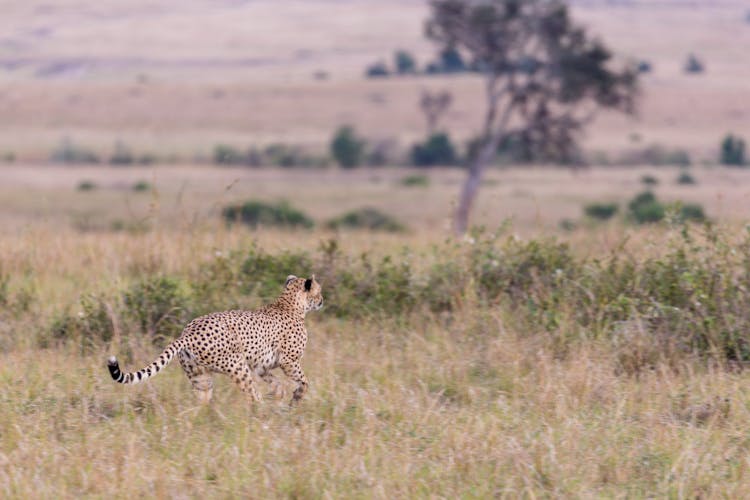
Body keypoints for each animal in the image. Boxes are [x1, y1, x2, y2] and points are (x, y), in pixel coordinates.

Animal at [107, 276, 324, 404]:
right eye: (319, 291)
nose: (322, 300)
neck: (290, 304)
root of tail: (188, 331)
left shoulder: (261, 366)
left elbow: (276, 382)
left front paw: (278, 394)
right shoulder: (289, 362)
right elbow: (304, 381)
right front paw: (296, 397)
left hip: (199, 376)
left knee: (202, 401)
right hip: (237, 366)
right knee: (252, 395)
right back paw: (261, 414)